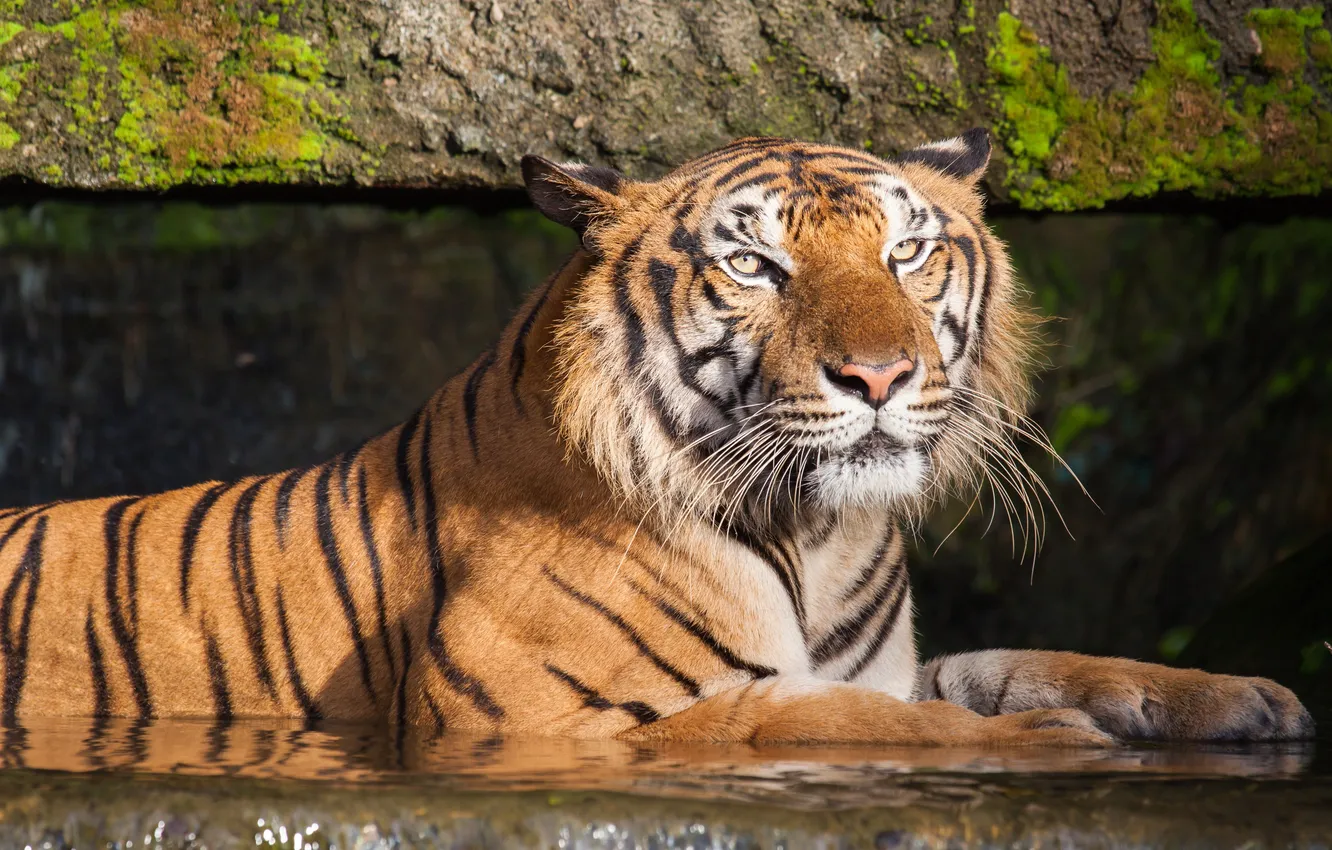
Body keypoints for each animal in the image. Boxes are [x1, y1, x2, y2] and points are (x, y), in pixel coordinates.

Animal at [0, 130, 1313, 746]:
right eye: (755, 266)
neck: (820, 533)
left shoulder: (881, 659)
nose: (881, 375)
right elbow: (842, 723)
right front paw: (1064, 743)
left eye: (907, 252)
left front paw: (1237, 697)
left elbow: (1022, 660)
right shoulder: (546, 717)